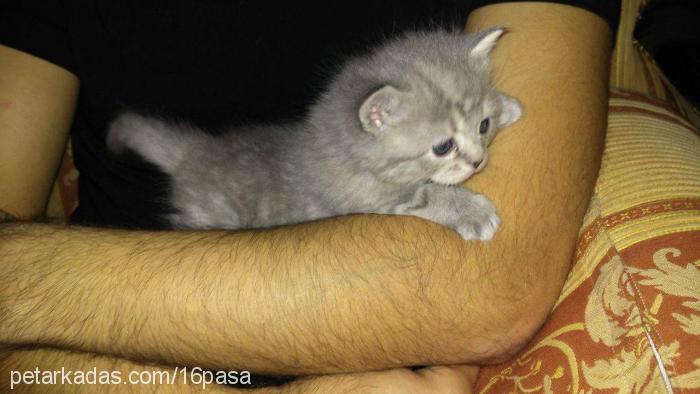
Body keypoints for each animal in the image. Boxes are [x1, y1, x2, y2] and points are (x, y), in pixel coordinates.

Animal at [108, 28, 520, 240]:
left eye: (482, 125)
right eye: (442, 146)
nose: (478, 161)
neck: (343, 148)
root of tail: (196, 149)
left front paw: (508, 106)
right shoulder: (370, 200)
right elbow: (428, 194)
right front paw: (471, 212)